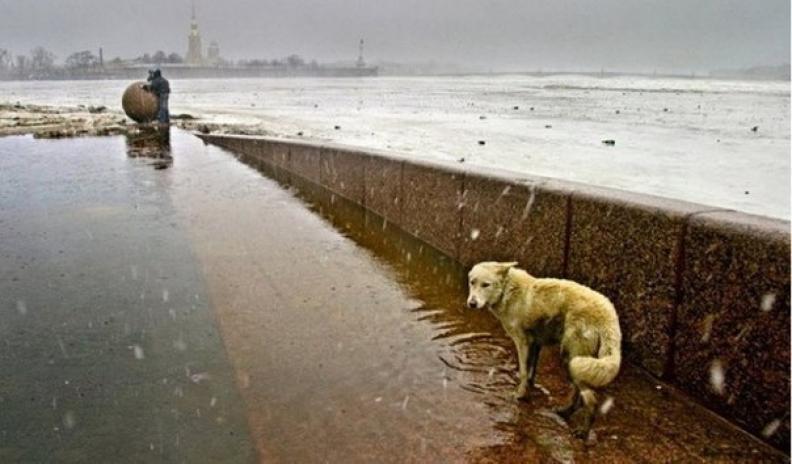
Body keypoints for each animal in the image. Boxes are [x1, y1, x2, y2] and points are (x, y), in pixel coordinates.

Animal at [468, 262, 620, 436]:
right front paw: (529, 389)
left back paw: (582, 432)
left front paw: (520, 396)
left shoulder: (522, 342)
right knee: (580, 396)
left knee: (591, 400)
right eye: (472, 282)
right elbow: (530, 372)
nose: (471, 303)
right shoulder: (535, 344)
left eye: (485, 285)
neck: (507, 291)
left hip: (572, 358)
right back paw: (564, 412)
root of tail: (608, 317)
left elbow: (523, 372)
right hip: (577, 362)